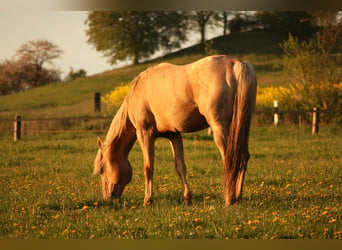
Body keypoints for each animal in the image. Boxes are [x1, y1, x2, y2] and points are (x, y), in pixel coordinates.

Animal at [93, 55, 256, 206]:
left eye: (102, 169)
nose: (108, 198)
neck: (139, 91)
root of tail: (235, 63)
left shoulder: (144, 134)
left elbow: (148, 167)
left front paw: (148, 200)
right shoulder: (174, 135)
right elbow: (180, 167)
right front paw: (188, 198)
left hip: (219, 127)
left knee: (230, 160)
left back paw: (229, 199)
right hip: (240, 127)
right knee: (243, 157)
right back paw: (238, 197)